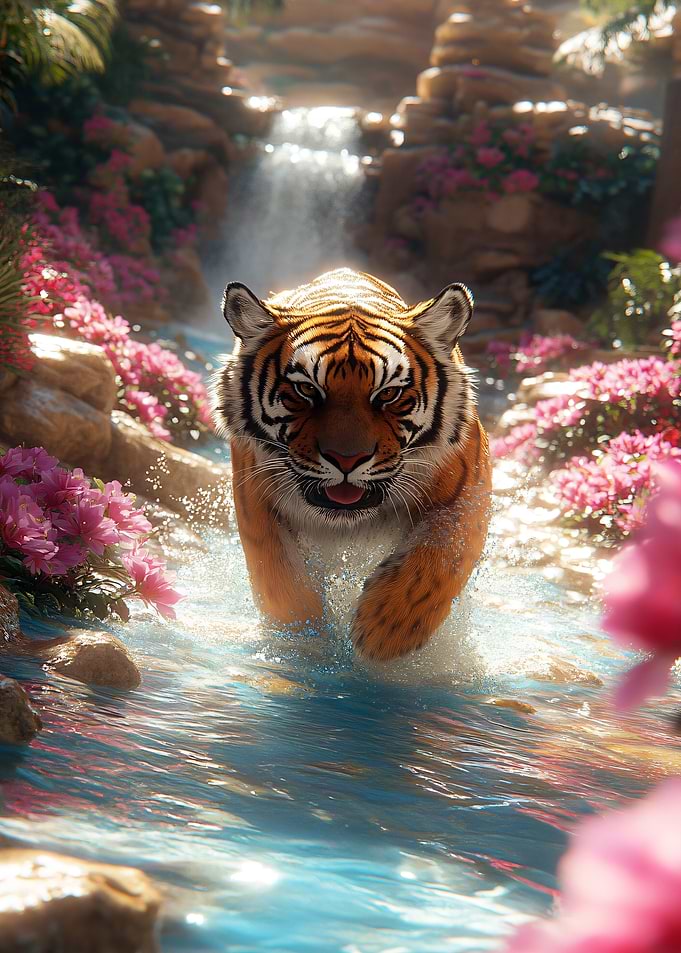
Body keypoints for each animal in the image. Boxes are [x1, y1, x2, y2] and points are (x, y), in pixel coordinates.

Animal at [212, 268, 491, 662]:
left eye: (388, 394)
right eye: (306, 391)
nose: (347, 459)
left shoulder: (468, 487)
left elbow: (443, 554)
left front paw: (386, 632)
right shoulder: (254, 493)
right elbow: (275, 569)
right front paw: (303, 636)